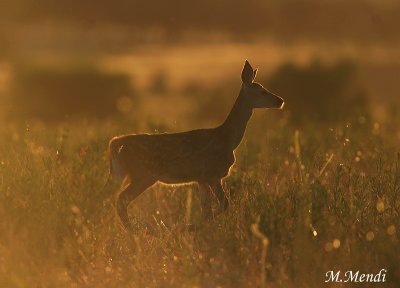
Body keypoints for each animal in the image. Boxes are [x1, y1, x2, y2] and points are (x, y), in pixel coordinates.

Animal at [108, 60, 284, 232]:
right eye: (262, 91)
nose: (280, 101)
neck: (228, 139)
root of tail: (117, 143)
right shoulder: (212, 174)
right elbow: (223, 205)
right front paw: (189, 226)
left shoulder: (200, 178)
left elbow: (206, 209)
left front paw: (196, 228)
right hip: (143, 173)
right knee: (121, 200)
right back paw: (138, 232)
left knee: (120, 200)